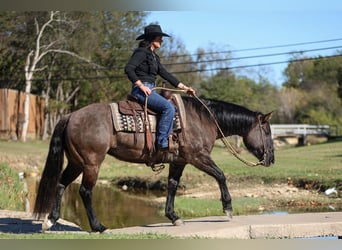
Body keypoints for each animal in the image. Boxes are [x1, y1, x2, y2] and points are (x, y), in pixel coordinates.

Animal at [33, 95, 274, 232]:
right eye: (267, 131)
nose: (271, 159)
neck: (202, 118)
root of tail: (71, 116)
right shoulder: (198, 157)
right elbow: (221, 175)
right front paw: (228, 209)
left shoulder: (180, 161)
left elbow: (172, 186)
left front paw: (173, 217)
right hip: (91, 163)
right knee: (85, 191)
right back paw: (98, 226)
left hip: (76, 162)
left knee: (61, 184)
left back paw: (50, 221)